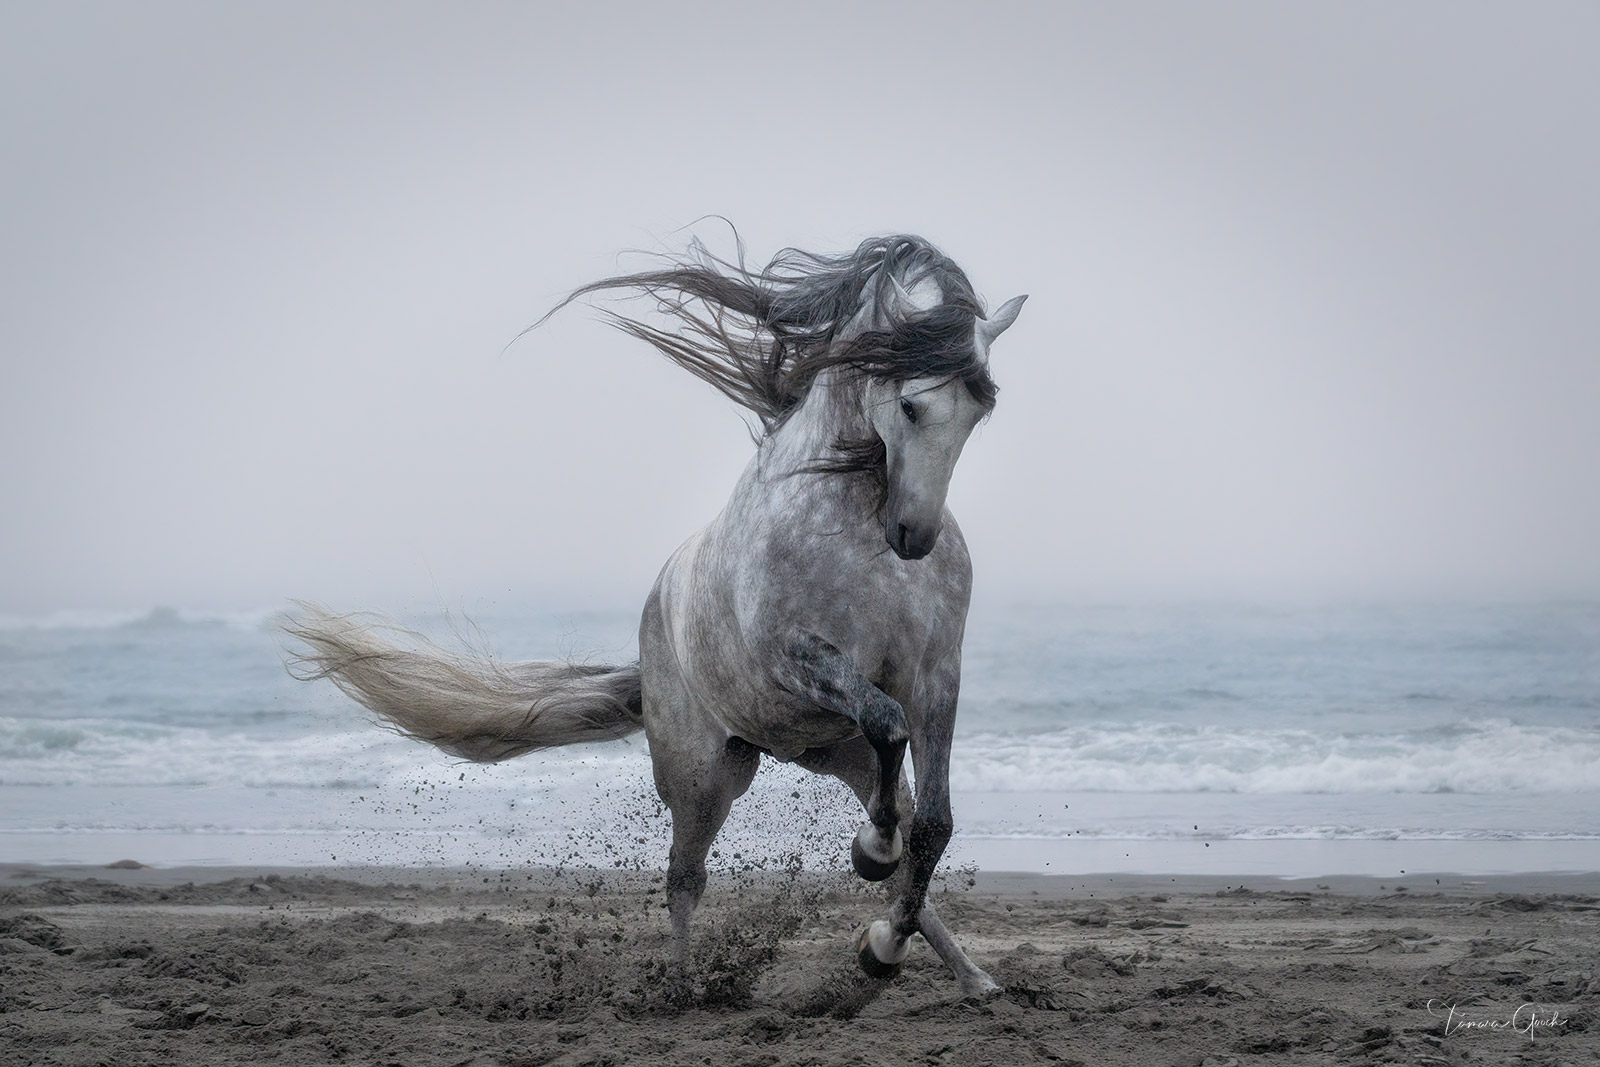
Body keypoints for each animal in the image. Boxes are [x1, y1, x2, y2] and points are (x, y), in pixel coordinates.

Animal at [286, 231, 1024, 991]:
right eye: (910, 406)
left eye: (977, 413)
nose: (915, 536)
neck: (852, 524)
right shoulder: (797, 656)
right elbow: (886, 726)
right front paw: (870, 854)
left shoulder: (935, 677)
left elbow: (932, 821)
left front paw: (883, 931)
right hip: (703, 776)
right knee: (685, 878)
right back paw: (684, 985)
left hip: (829, 749)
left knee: (898, 829)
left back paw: (948, 967)